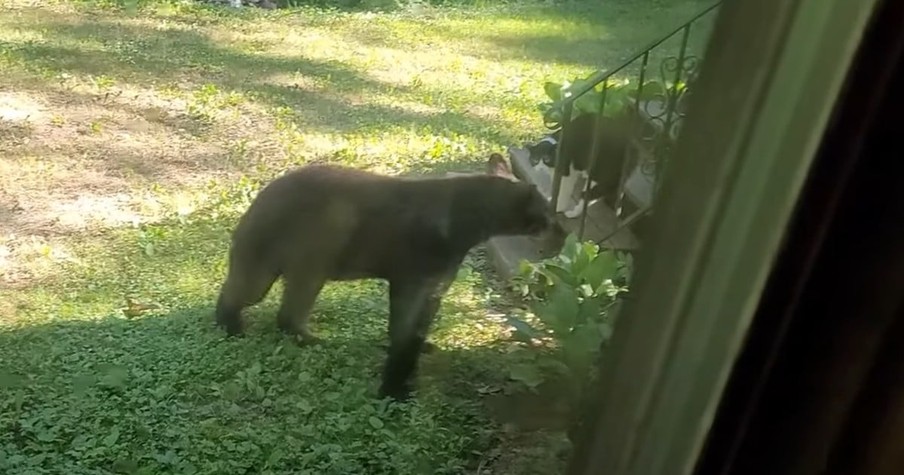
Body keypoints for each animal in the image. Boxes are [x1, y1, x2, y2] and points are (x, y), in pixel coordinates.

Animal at [214, 155, 564, 402]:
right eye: (547, 212)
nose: (560, 229)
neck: (469, 222)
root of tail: (260, 196)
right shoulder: (413, 282)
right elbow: (405, 335)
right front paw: (396, 388)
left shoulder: (434, 286)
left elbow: (416, 330)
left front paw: (420, 353)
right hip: (276, 266)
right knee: (242, 296)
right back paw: (233, 329)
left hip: (308, 268)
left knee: (287, 312)